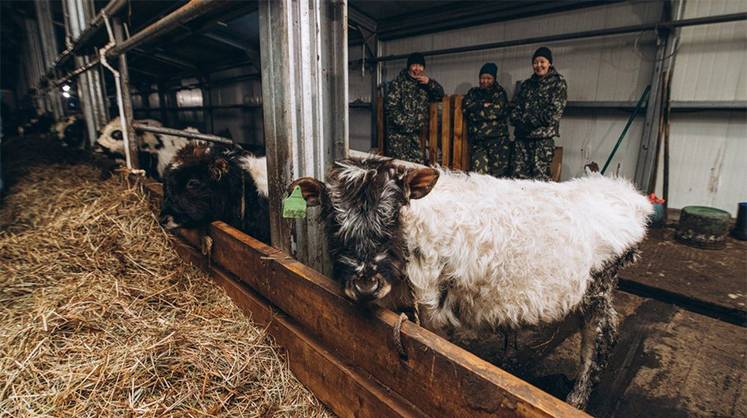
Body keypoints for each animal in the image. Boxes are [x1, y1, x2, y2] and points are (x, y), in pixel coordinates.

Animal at [290, 155, 652, 410]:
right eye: (332, 220)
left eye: (394, 214)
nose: (366, 284)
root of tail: (626, 196)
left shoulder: (430, 306)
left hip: (600, 289)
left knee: (600, 339)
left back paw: (576, 399)